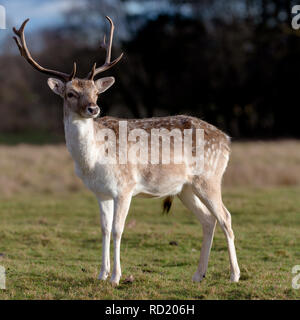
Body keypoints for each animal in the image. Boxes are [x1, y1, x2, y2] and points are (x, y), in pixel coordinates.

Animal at [12, 16, 240, 286]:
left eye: (96, 92)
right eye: (70, 93)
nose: (93, 108)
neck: (92, 161)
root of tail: (227, 139)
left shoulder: (125, 186)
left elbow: (117, 230)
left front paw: (116, 277)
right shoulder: (100, 193)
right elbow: (102, 229)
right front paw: (101, 274)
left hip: (209, 177)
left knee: (225, 217)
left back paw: (234, 275)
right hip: (185, 187)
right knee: (208, 219)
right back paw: (197, 275)